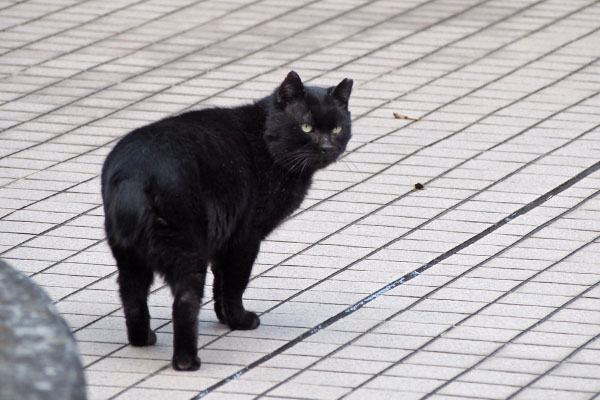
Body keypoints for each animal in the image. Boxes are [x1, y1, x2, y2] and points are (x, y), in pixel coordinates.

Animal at [101, 70, 354, 370]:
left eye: (337, 129)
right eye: (306, 127)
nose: (327, 146)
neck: (265, 143)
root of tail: (135, 174)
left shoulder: (224, 242)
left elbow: (220, 284)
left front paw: (224, 319)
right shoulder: (245, 238)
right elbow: (234, 284)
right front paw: (240, 321)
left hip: (129, 257)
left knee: (132, 298)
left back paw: (143, 339)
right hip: (187, 251)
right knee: (184, 302)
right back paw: (187, 362)